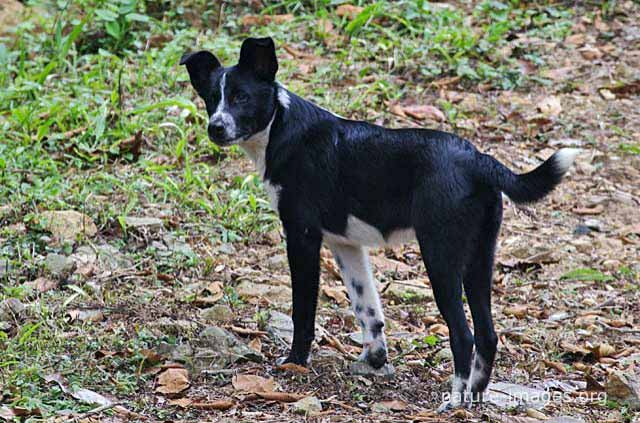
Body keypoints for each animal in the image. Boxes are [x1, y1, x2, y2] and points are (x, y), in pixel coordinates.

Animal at [181, 38, 580, 410]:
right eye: (211, 100)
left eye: (241, 97)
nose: (215, 128)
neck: (281, 127)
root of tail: (478, 159)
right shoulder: (345, 244)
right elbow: (367, 309)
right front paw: (374, 359)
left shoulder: (302, 237)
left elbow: (303, 312)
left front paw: (295, 362)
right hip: (479, 259)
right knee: (487, 334)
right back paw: (474, 398)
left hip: (441, 258)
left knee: (464, 335)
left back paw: (453, 401)